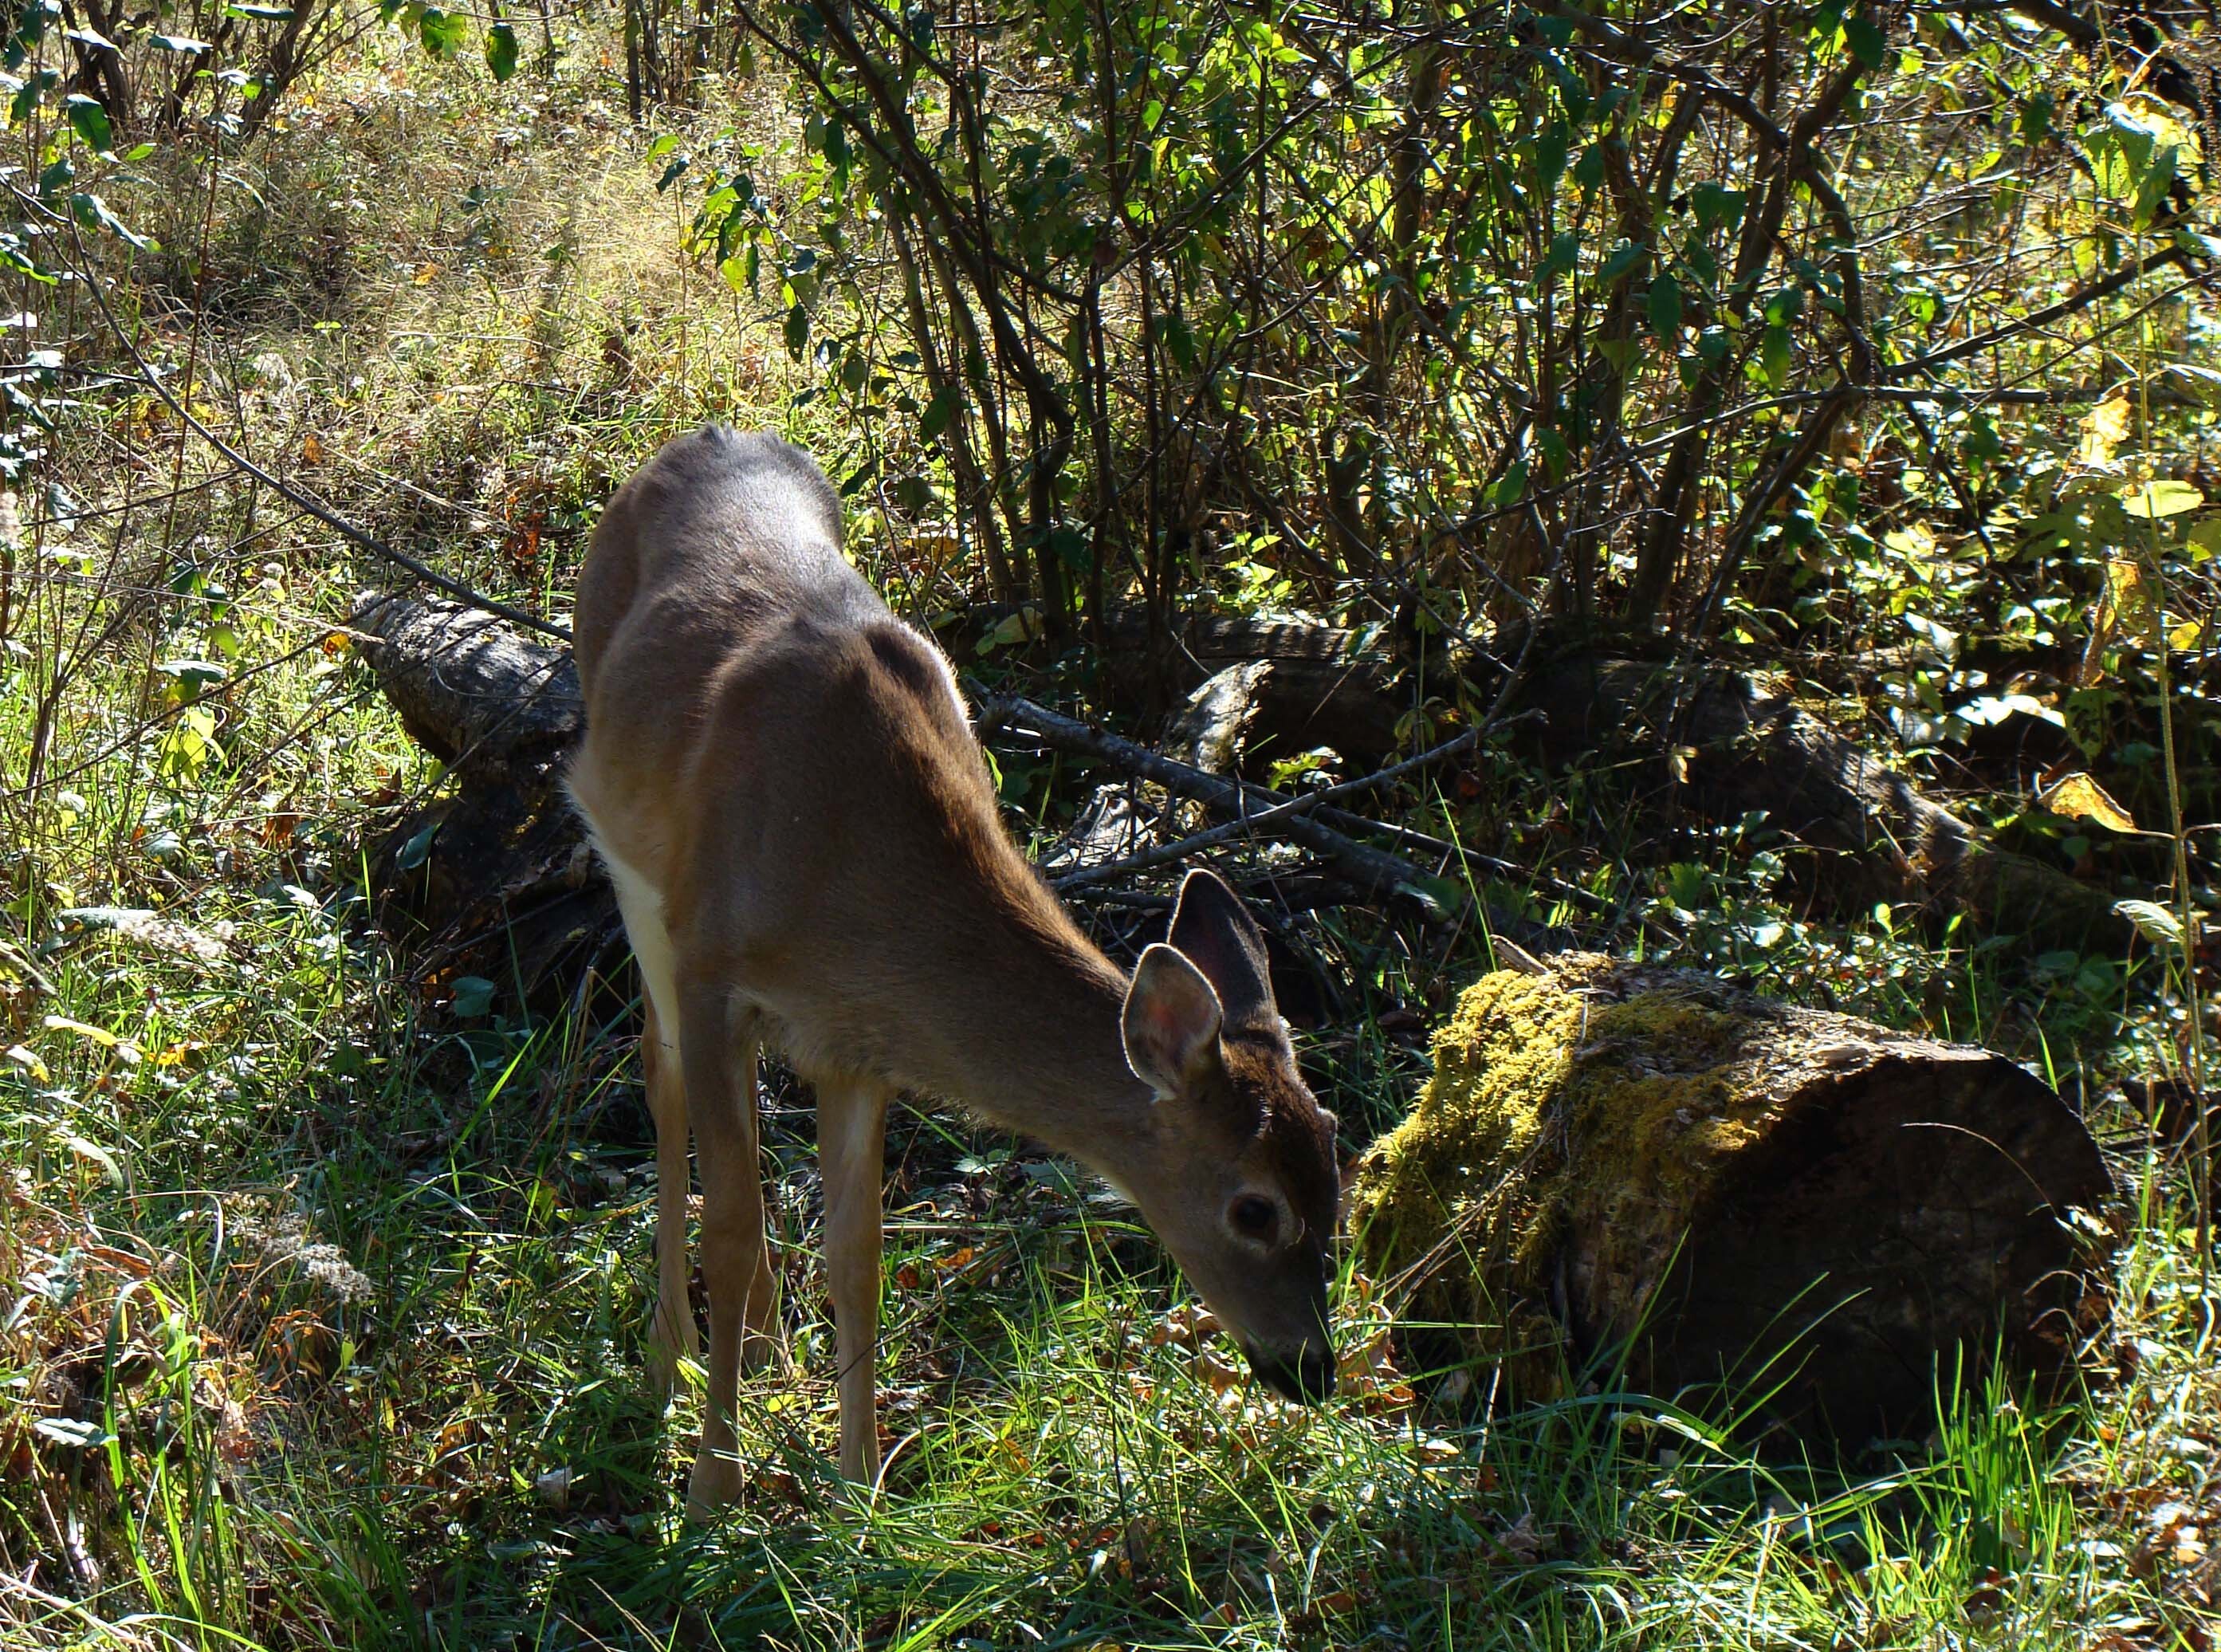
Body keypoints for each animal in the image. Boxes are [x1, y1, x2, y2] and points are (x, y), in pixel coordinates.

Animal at [565, 427, 1341, 1505]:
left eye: (1336, 1173)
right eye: (1254, 1206)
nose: (1312, 1371)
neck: (852, 869)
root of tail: (698, 436)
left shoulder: (857, 1041)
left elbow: (856, 1250)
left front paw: (858, 1488)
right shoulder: (713, 962)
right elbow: (726, 1225)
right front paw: (715, 1488)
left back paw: (763, 1345)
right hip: (633, 866)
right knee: (660, 1073)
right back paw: (664, 1357)